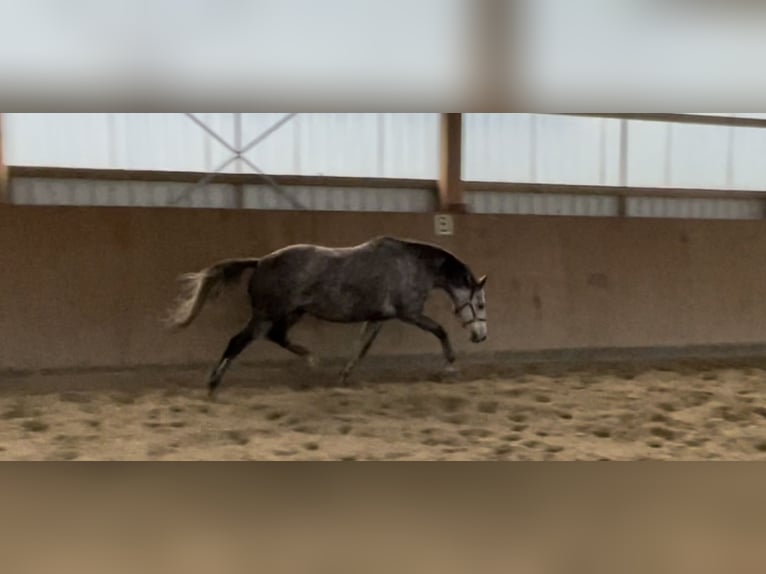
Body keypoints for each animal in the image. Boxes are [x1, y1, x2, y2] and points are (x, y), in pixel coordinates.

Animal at [171, 236, 488, 398]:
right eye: (481, 304)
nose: (481, 337)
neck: (412, 265)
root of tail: (260, 262)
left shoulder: (378, 318)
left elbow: (361, 349)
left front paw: (344, 376)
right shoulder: (409, 313)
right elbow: (440, 331)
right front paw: (450, 366)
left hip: (292, 312)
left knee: (277, 336)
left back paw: (311, 359)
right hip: (266, 314)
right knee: (237, 341)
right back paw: (213, 385)